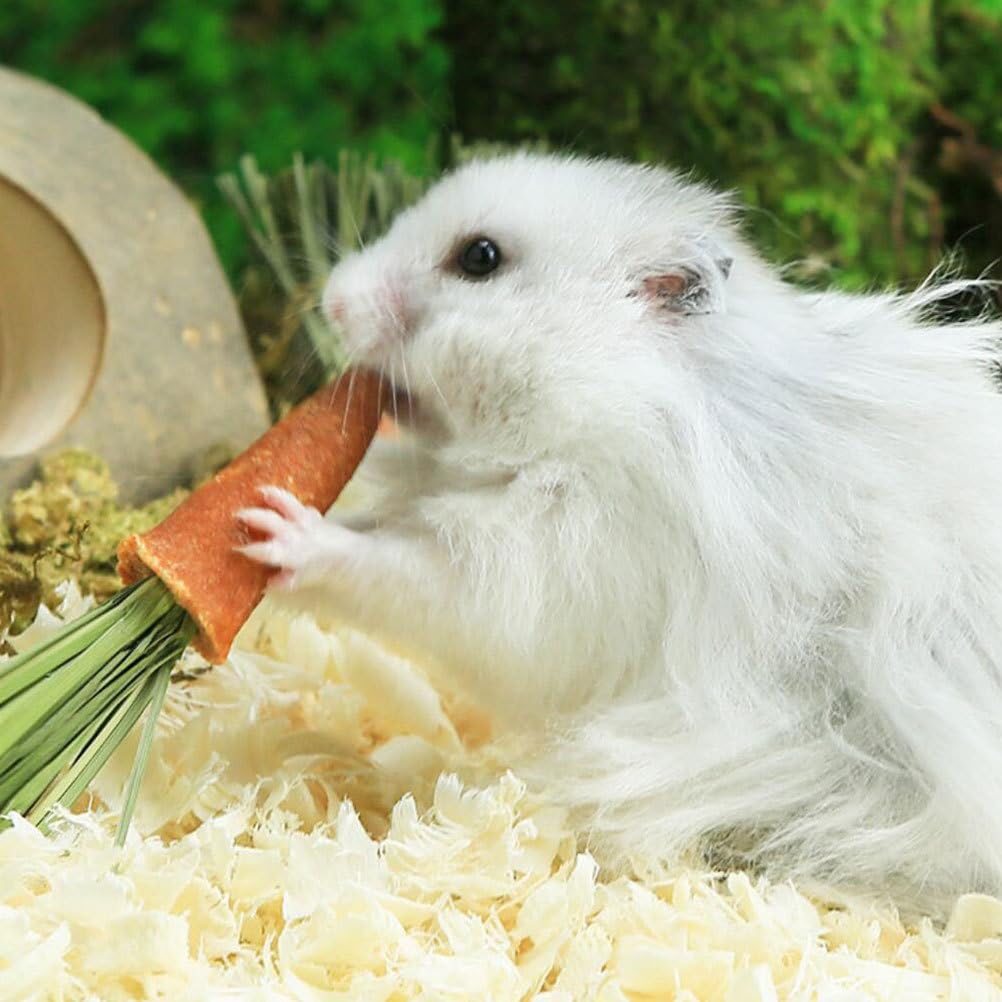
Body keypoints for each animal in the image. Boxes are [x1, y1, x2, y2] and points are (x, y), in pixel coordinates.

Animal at [238, 152, 1002, 911]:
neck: (605, 397)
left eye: (480, 257)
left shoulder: (546, 577)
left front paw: (273, 535)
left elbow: (399, 574)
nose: (334, 299)